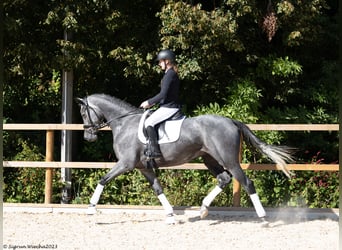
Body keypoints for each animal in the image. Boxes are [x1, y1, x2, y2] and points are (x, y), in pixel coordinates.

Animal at [75, 94, 294, 225]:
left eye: (84, 112)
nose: (88, 137)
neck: (124, 123)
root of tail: (231, 121)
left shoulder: (125, 164)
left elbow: (103, 180)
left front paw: (90, 210)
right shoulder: (143, 168)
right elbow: (158, 189)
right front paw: (171, 216)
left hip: (229, 160)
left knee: (246, 182)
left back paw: (263, 218)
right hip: (209, 159)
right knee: (224, 179)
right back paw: (203, 209)